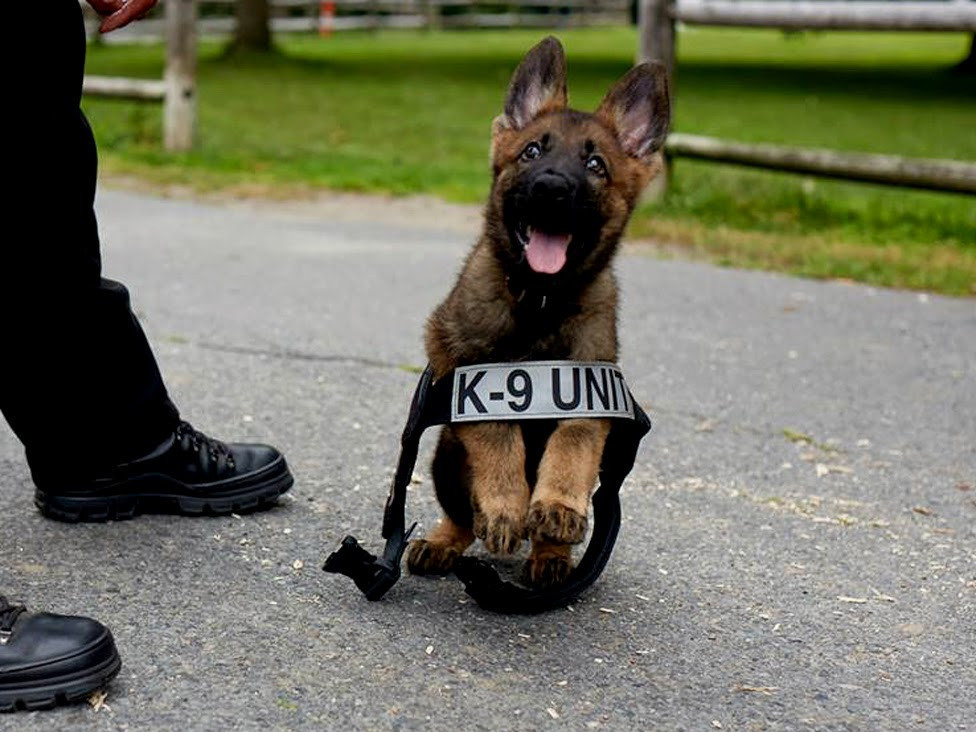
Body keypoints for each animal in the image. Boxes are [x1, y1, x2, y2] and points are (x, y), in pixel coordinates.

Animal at [406, 37, 672, 588]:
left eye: (596, 165)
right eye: (532, 151)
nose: (551, 187)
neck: (539, 302)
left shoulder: (590, 388)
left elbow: (572, 444)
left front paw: (556, 507)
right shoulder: (469, 372)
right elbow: (498, 437)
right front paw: (506, 506)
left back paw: (550, 552)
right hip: (445, 453)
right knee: (463, 517)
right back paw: (444, 541)